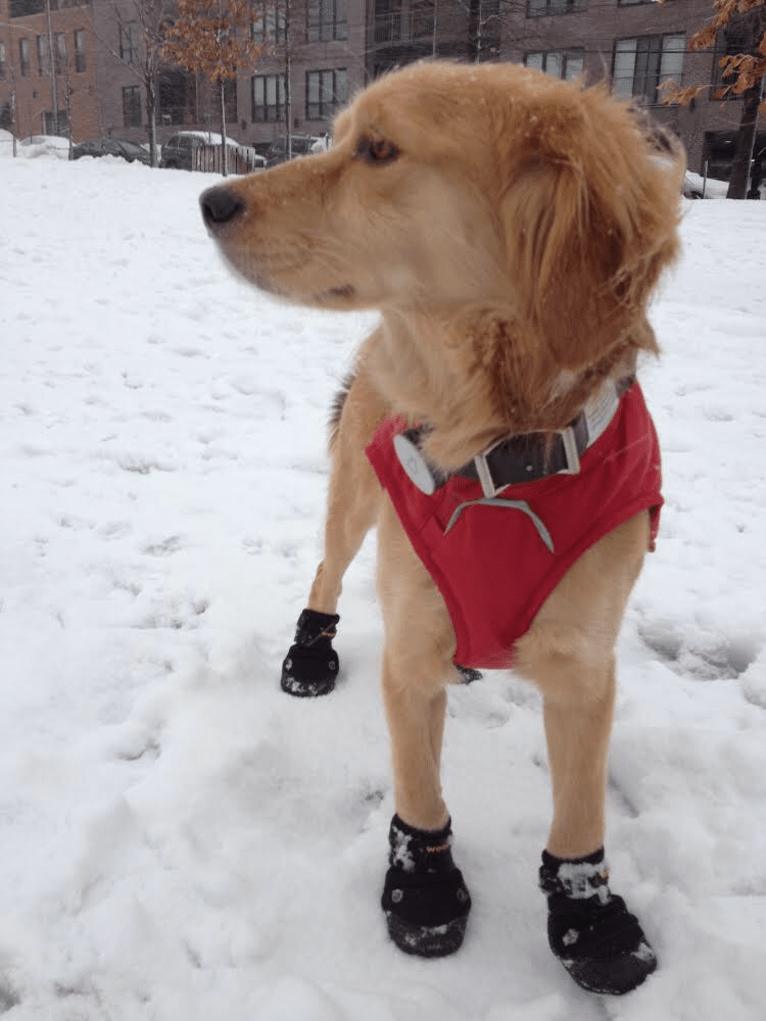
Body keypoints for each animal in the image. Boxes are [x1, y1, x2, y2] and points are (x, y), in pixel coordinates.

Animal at [199, 59, 682, 992]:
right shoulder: (411, 646)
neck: (498, 450)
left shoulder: (585, 669)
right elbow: (418, 785)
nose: (210, 198)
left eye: (380, 150)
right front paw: (422, 887)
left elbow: (579, 810)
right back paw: (309, 653)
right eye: (339, 135)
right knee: (325, 572)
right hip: (353, 499)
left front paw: (590, 919)